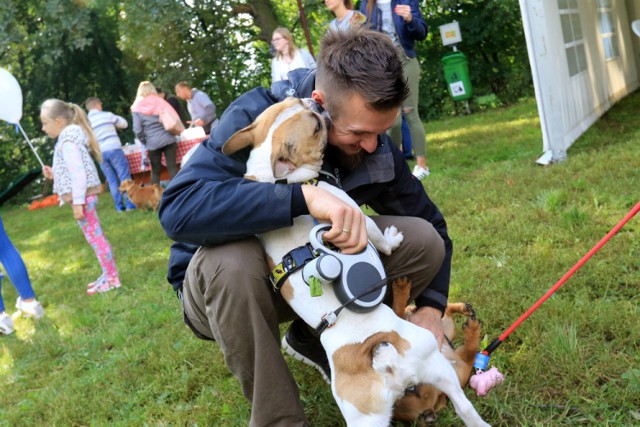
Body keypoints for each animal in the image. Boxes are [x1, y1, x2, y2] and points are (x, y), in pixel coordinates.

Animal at [390, 280, 480, 426]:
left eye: (411, 387)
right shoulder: (464, 362)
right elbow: (471, 350)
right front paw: (473, 330)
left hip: (446, 328)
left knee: (445, 310)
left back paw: (463, 308)